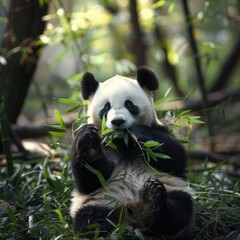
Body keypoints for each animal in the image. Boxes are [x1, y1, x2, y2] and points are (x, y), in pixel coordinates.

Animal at [70, 66, 195, 237]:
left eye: (129, 104)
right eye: (106, 107)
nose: (118, 122)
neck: (124, 141)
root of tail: (129, 214)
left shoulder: (159, 132)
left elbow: (176, 158)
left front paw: (138, 132)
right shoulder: (108, 144)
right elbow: (92, 178)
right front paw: (90, 146)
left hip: (173, 188)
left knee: (179, 210)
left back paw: (149, 205)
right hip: (100, 201)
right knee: (90, 221)